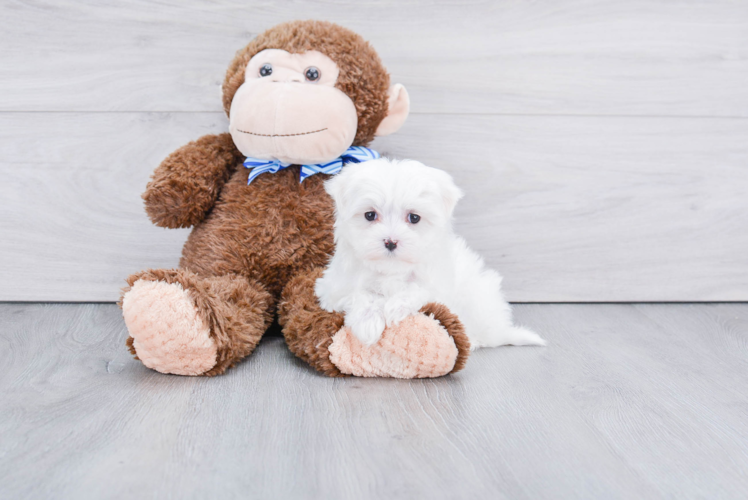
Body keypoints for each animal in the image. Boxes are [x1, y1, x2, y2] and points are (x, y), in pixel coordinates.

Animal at [312, 158, 548, 350]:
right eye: (370, 215)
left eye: (414, 218)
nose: (391, 241)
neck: (392, 270)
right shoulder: (334, 288)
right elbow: (360, 294)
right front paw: (368, 322)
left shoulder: (439, 288)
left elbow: (418, 290)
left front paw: (396, 307)